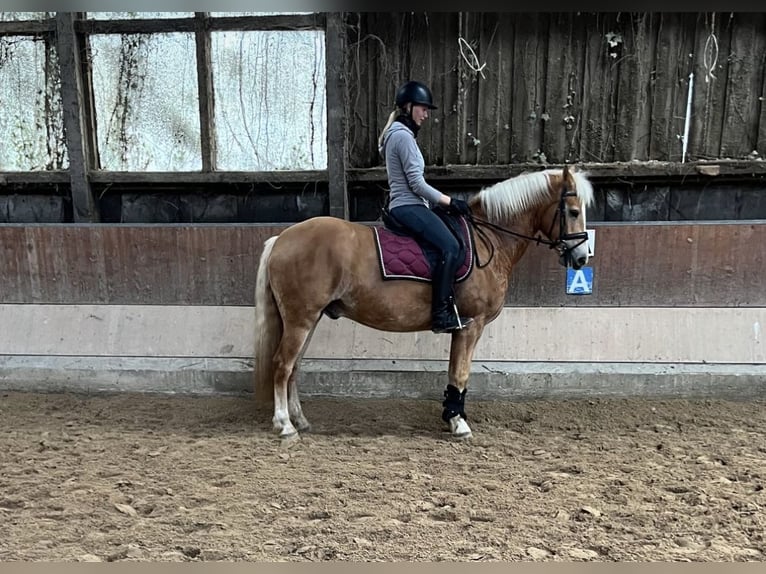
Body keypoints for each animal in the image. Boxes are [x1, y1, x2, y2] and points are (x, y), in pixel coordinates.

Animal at [255, 165, 596, 440]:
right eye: (573, 212)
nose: (581, 258)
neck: (488, 240)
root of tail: (282, 238)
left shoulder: (463, 328)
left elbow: (455, 372)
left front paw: (453, 415)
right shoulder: (472, 325)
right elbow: (460, 373)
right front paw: (459, 424)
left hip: (308, 319)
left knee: (295, 366)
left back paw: (300, 420)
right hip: (300, 319)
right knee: (282, 364)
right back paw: (285, 425)